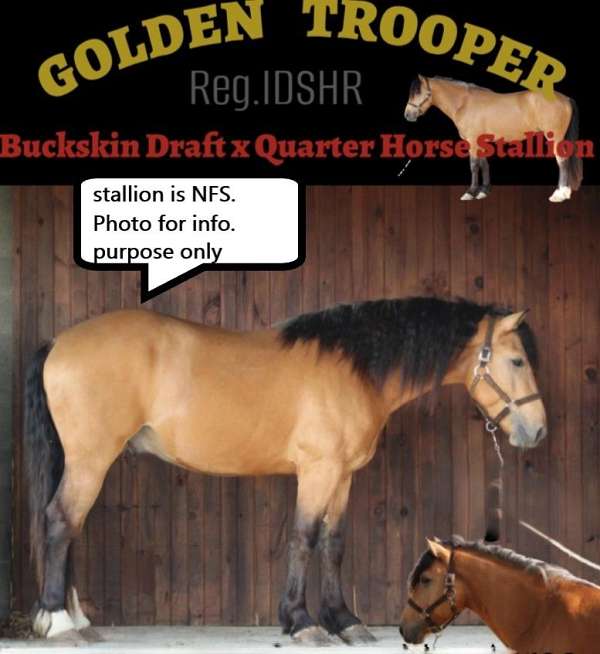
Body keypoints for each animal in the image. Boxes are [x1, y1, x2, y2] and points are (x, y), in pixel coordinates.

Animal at [24, 296, 547, 645]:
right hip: (91, 458)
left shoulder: (342, 474)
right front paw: (303, 622)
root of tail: (59, 341)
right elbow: (303, 538)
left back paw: (74, 617)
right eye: (516, 360)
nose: (538, 431)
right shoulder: (318, 470)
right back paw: (58, 622)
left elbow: (334, 544)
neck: (354, 368)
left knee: (69, 527)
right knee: (61, 522)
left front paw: (346, 621)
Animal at [404, 75, 582, 203]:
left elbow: (474, 165)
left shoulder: (472, 141)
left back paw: (559, 195)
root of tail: (565, 98)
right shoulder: (480, 141)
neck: (464, 103)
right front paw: (483, 192)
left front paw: (470, 192)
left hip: (555, 137)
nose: (407, 115)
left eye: (418, 93)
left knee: (562, 161)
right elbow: (484, 164)